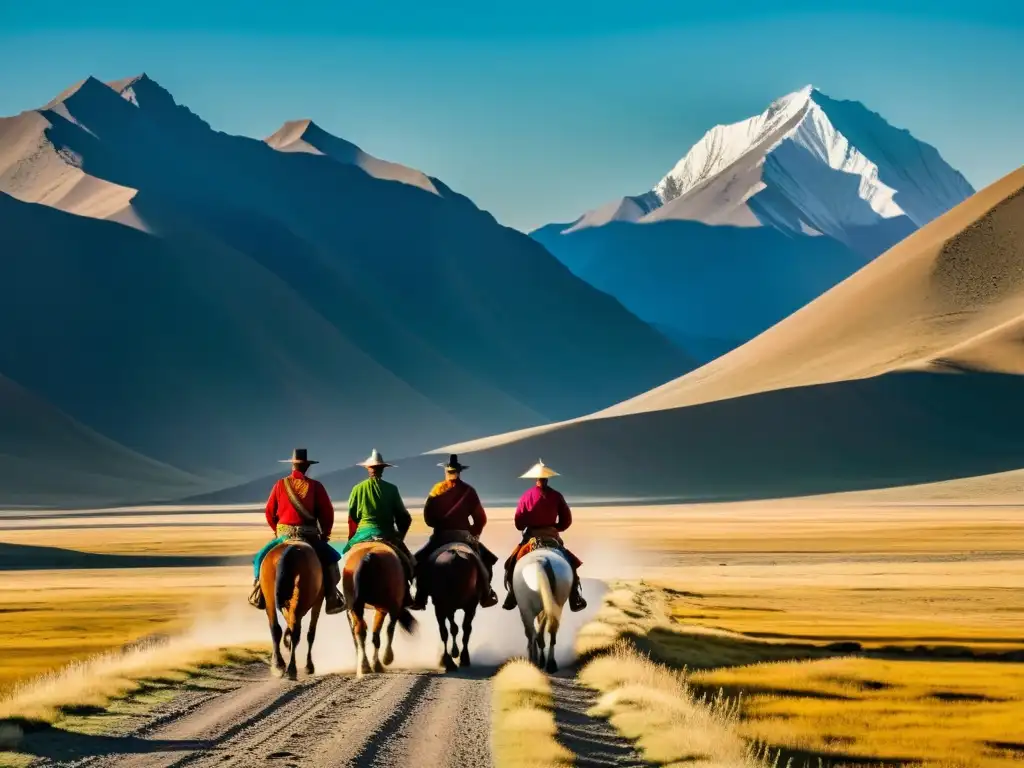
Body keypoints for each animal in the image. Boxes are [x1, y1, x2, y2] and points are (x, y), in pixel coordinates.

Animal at [258, 540, 321, 679]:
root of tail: (291, 549)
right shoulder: (318, 601)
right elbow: (311, 633)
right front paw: (309, 666)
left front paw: (286, 643)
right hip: (299, 599)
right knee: (296, 632)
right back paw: (292, 668)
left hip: (270, 598)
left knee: (276, 628)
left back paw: (278, 665)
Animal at [339, 540, 411, 679]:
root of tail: (368, 556)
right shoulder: (386, 608)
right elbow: (384, 631)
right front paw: (385, 659)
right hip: (388, 607)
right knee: (387, 630)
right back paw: (384, 659)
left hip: (356, 606)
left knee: (361, 632)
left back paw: (364, 666)